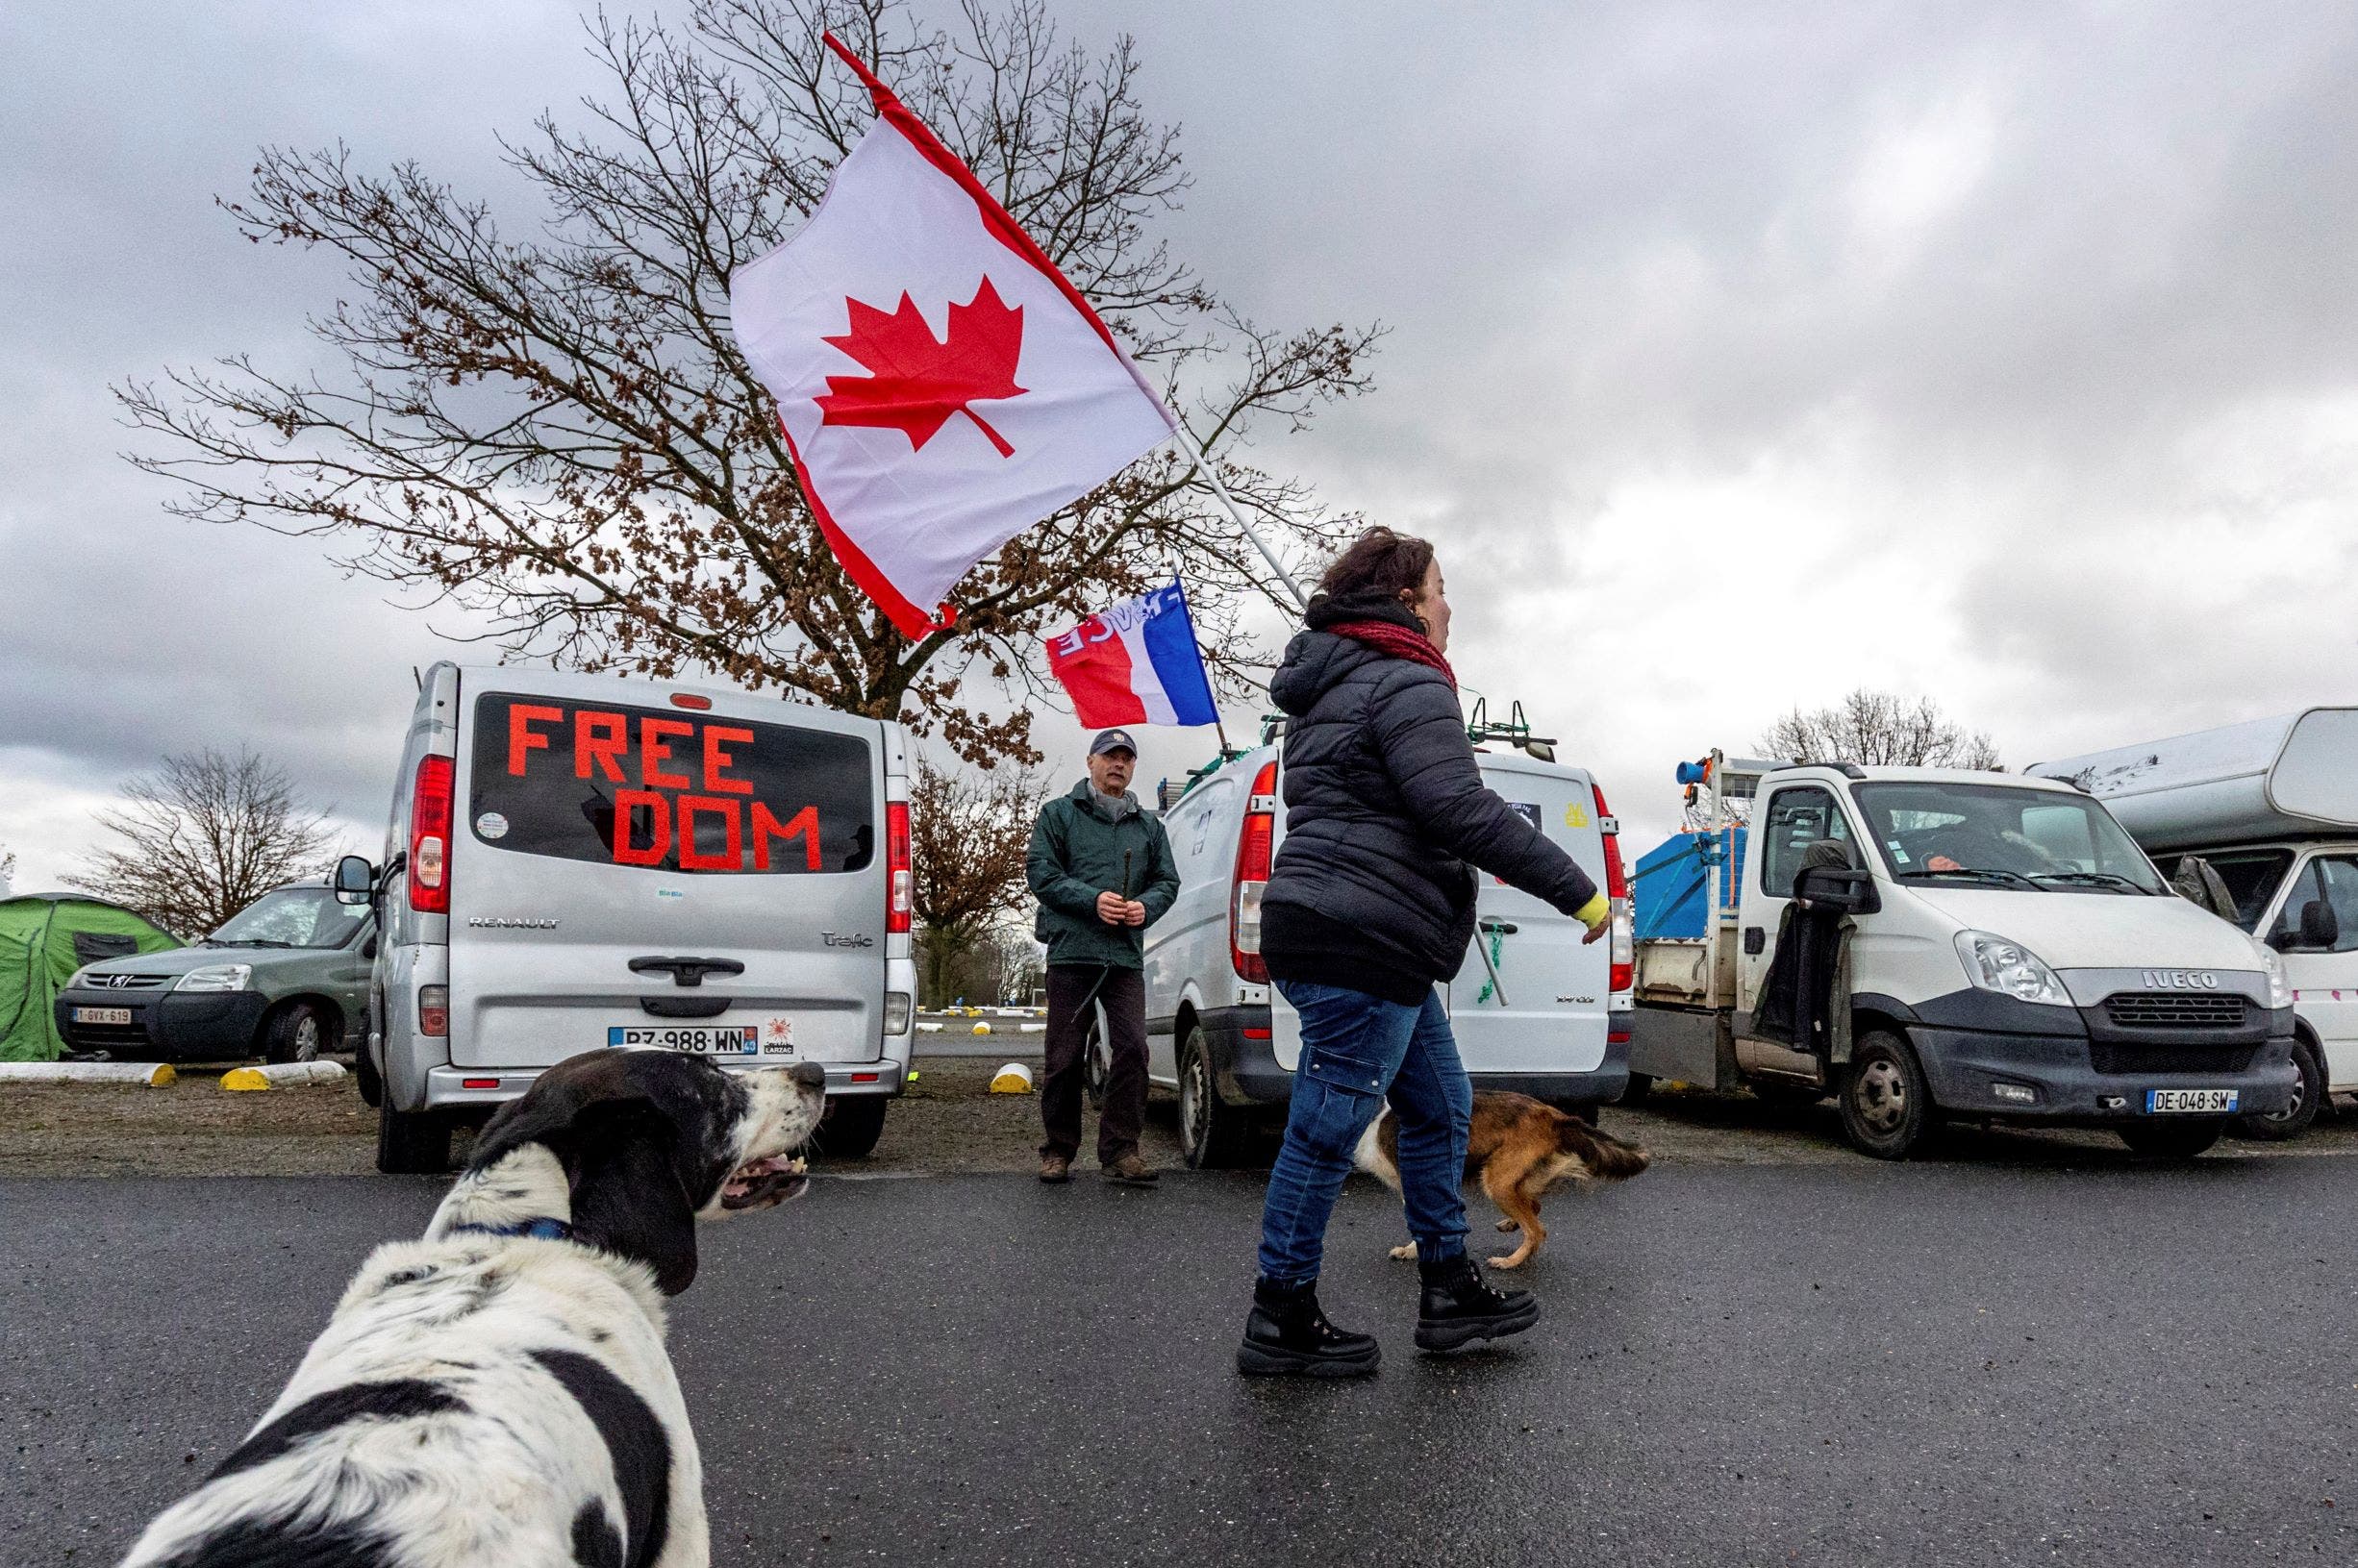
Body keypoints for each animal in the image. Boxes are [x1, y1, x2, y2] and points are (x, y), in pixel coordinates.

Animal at [1358, 1094, 1650, 1263]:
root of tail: (1554, 1116)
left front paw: (1414, 1251)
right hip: (1511, 1178)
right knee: (1534, 1207)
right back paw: (1511, 1224)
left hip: (1496, 1181)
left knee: (1537, 1230)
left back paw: (1509, 1261)